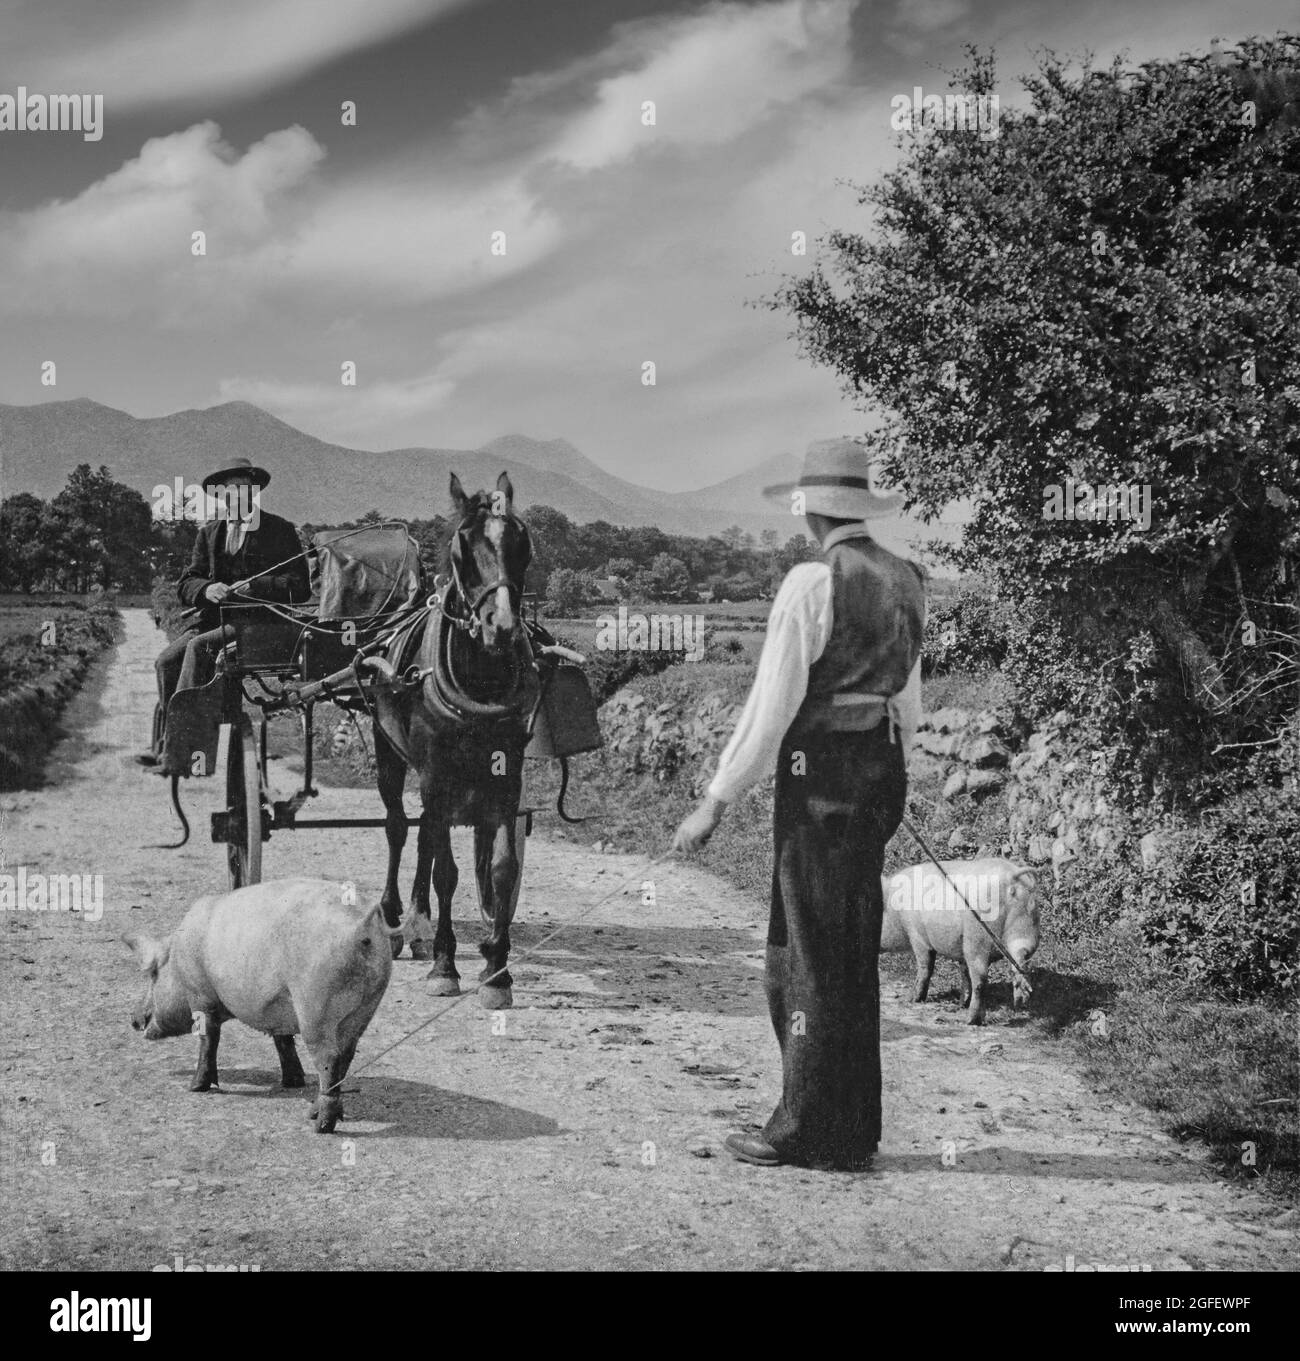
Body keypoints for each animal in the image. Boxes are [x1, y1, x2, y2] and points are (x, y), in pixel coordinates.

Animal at [124, 876, 394, 1132]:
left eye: (153, 973)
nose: (133, 1019)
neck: (178, 958)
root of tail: (362, 924)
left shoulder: (200, 995)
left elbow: (208, 1039)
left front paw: (196, 1087)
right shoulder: (279, 1010)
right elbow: (283, 1041)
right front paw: (292, 1082)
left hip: (314, 1006)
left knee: (330, 1058)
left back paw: (320, 1127)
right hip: (366, 1006)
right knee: (346, 1056)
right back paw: (313, 1113)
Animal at [370, 470, 539, 1012]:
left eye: (522, 542)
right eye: (463, 547)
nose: (501, 627)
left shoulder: (507, 777)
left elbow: (502, 868)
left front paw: (497, 969)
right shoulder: (436, 775)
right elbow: (446, 870)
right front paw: (446, 965)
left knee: (425, 833)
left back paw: (419, 924)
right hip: (391, 754)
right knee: (399, 828)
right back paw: (396, 920)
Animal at [882, 860, 1040, 1023]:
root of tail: (1011, 876)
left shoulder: (917, 935)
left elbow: (926, 967)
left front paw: (912, 999)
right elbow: (964, 973)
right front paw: (961, 1003)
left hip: (977, 935)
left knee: (981, 977)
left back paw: (971, 1020)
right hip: (1026, 925)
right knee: (1022, 957)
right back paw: (1020, 999)